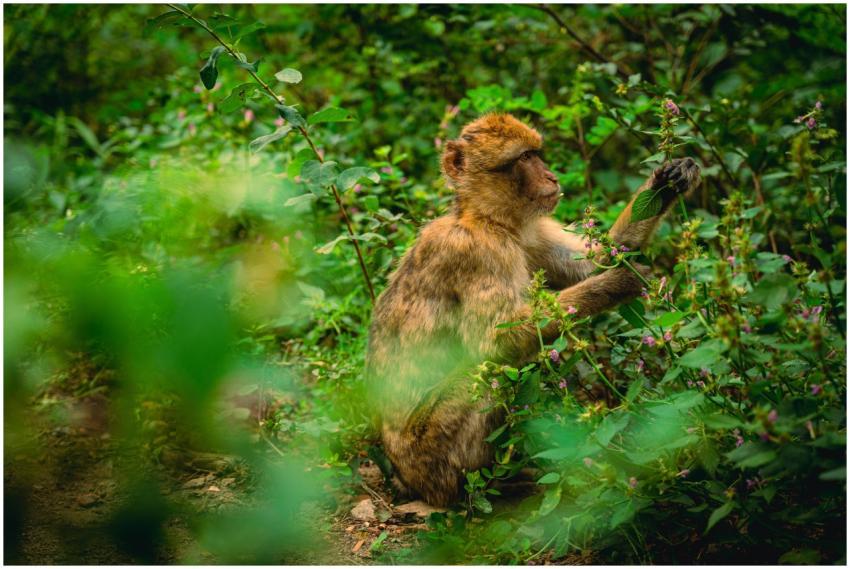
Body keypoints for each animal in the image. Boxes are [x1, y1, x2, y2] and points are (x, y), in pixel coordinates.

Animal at [366, 113, 701, 506]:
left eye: (536, 153)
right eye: (524, 158)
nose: (552, 177)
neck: (489, 219)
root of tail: (403, 475)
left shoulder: (532, 232)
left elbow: (595, 260)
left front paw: (668, 181)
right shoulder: (478, 254)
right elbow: (494, 342)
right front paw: (620, 282)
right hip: (431, 449)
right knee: (486, 374)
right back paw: (472, 491)